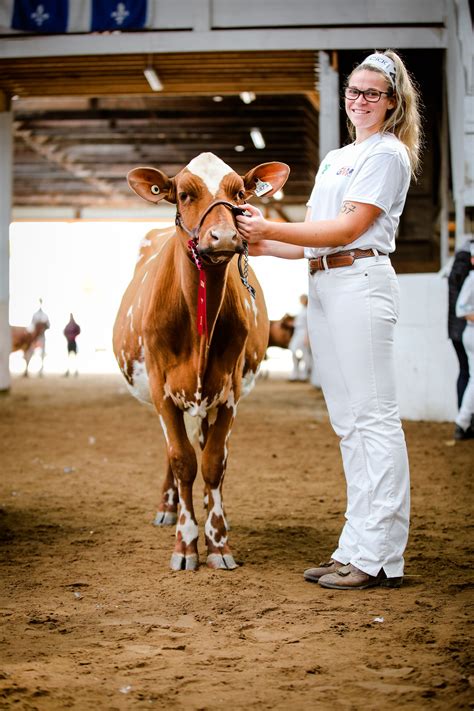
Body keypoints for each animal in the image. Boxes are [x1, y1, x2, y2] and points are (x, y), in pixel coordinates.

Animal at [114, 153, 288, 572]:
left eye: (239, 193)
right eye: (184, 194)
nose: (223, 238)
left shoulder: (229, 392)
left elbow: (212, 463)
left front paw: (218, 541)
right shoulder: (161, 389)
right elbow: (182, 461)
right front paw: (185, 543)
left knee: (210, 450)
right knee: (175, 453)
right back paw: (168, 507)